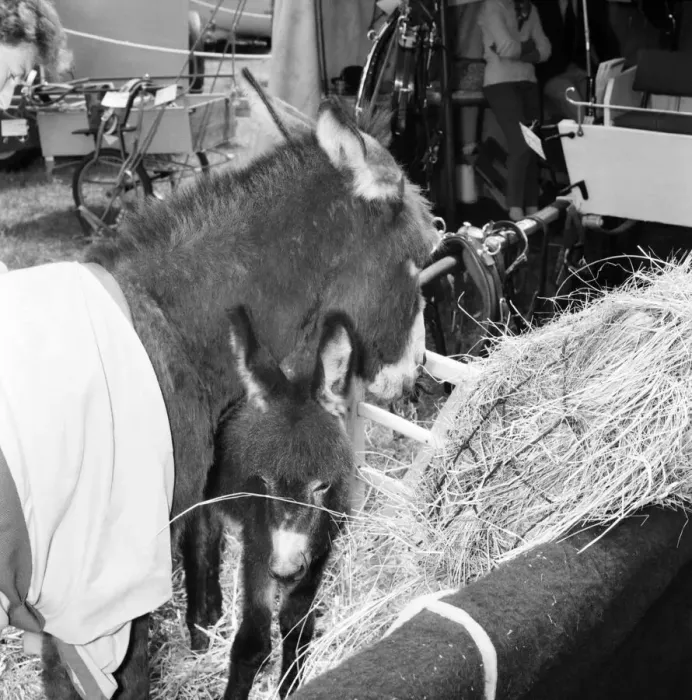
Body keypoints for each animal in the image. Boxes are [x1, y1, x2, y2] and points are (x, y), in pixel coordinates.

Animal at [184, 305, 358, 700]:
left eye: (323, 485)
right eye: (263, 482)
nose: (284, 571)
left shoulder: (319, 548)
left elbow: (297, 624)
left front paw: (291, 684)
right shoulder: (258, 544)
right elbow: (252, 642)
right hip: (207, 501)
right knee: (200, 544)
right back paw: (201, 627)